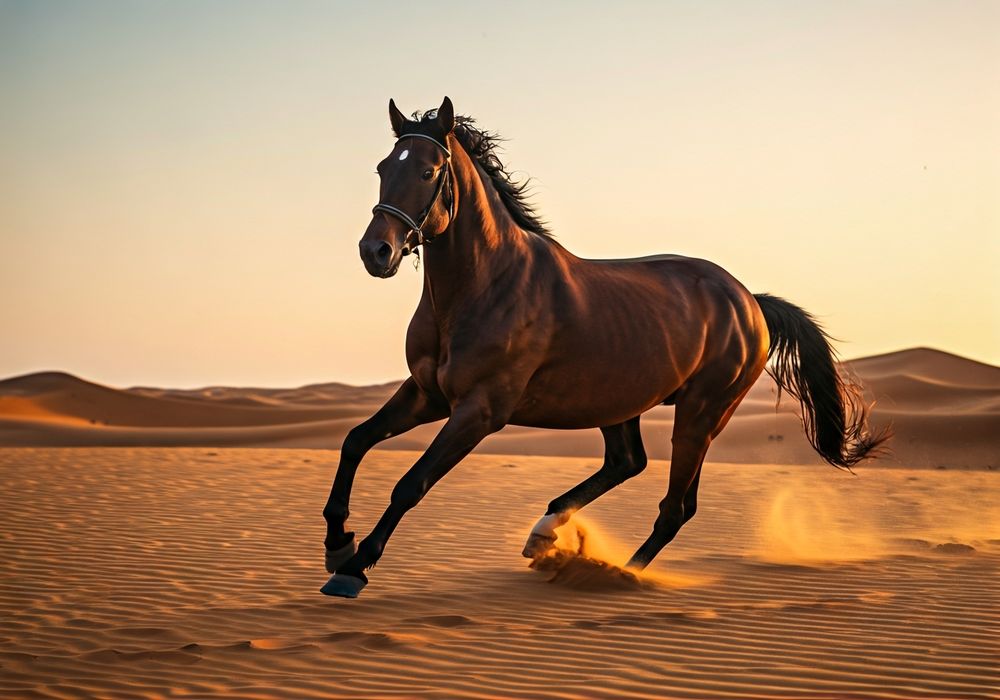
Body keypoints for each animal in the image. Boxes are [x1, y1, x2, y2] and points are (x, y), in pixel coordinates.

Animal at [320, 96, 888, 598]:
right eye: (382, 168)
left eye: (428, 171)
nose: (376, 251)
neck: (481, 286)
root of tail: (750, 301)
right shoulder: (427, 393)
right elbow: (355, 440)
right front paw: (337, 542)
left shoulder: (478, 411)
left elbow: (410, 484)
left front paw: (354, 568)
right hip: (621, 403)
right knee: (627, 463)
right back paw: (545, 534)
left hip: (703, 413)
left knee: (674, 507)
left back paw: (618, 573)